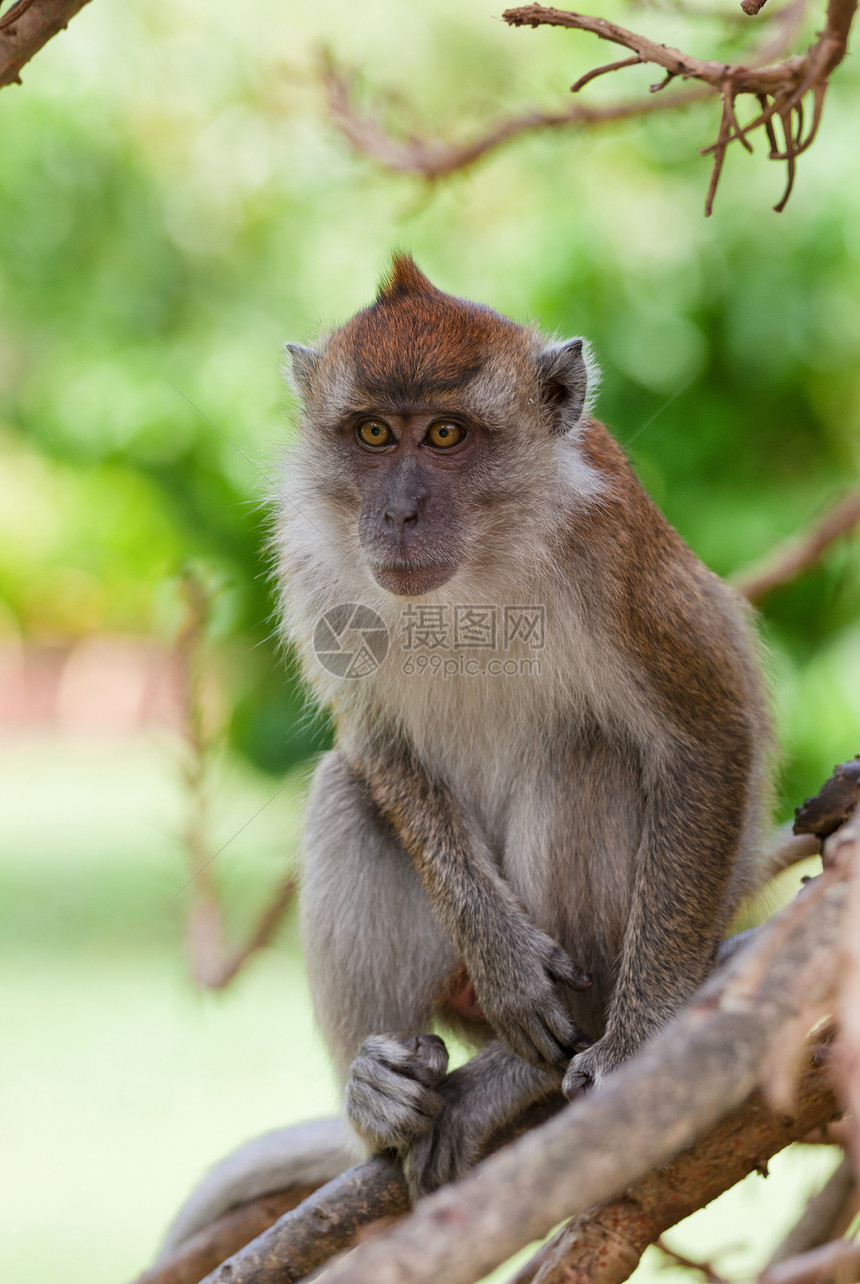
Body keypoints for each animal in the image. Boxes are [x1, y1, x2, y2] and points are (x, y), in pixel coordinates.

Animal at [156, 255, 775, 1258]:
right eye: (374, 433)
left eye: (445, 434)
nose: (400, 510)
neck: (480, 565)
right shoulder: (310, 561)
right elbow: (376, 746)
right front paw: (505, 958)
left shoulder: (614, 558)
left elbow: (710, 734)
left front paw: (639, 1044)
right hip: (451, 1000)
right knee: (346, 793)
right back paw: (379, 1102)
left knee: (589, 758)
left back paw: (554, 1053)